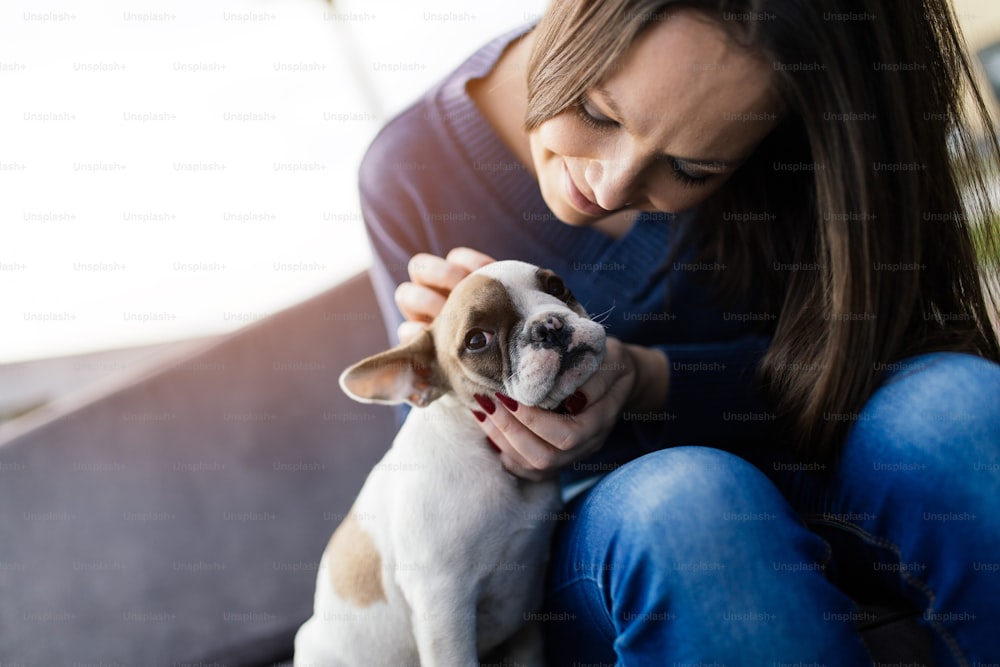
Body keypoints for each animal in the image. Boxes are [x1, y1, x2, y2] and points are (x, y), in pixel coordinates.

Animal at [292, 260, 604, 667]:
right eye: (476, 341)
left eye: (557, 286)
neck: (485, 449)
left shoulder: (523, 623)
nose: (548, 325)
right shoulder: (443, 605)